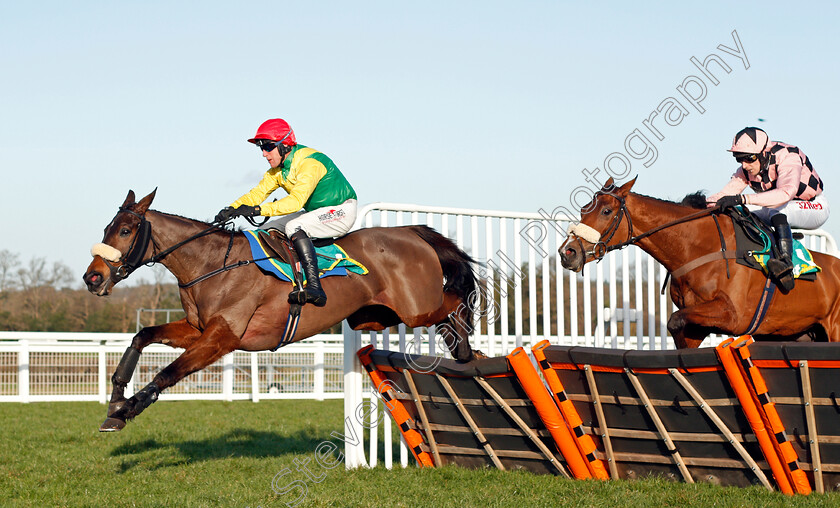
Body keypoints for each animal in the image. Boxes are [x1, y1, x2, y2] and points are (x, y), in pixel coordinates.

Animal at [87, 190, 480, 432]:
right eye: (106, 228)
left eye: (126, 230)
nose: (93, 277)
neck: (214, 264)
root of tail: (411, 231)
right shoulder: (198, 330)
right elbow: (142, 336)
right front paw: (117, 396)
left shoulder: (222, 338)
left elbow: (168, 372)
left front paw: (126, 410)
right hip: (374, 315)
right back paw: (460, 348)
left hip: (417, 309)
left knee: (455, 300)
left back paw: (464, 346)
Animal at [556, 177, 840, 348]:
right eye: (583, 209)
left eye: (606, 211)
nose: (567, 252)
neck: (696, 249)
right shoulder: (697, 322)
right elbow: (678, 327)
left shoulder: (733, 315)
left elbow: (674, 320)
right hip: (798, 334)